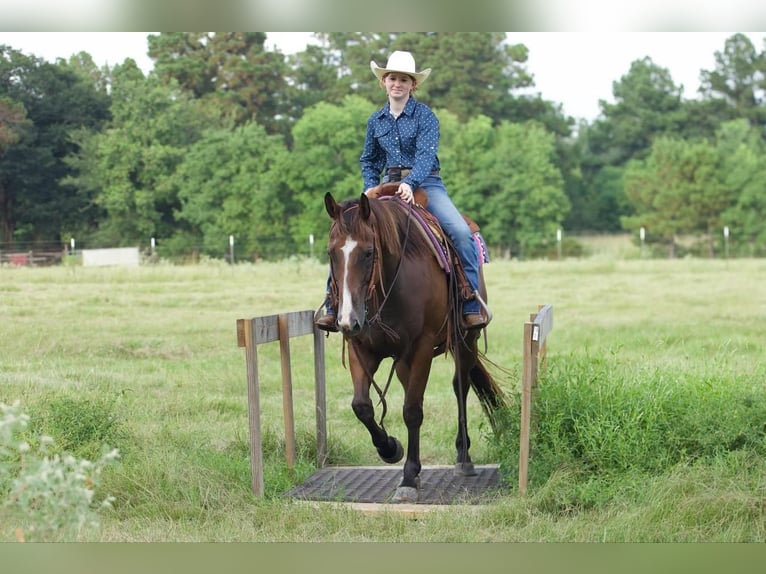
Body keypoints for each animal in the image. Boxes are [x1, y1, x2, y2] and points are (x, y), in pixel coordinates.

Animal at [326, 184, 510, 504]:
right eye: (330, 253)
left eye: (368, 252)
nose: (347, 319)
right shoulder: (361, 347)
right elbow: (362, 406)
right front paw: (389, 448)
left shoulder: (421, 348)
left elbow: (412, 410)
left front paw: (409, 478)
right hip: (402, 362)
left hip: (466, 342)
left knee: (460, 387)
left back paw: (464, 457)